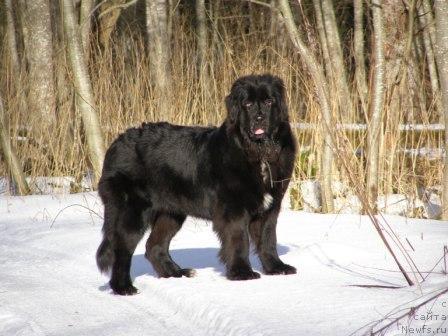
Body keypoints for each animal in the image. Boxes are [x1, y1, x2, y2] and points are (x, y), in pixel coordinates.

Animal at [96, 73, 296, 294]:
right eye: (248, 104)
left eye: (269, 102)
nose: (259, 117)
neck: (258, 154)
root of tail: (116, 144)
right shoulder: (233, 210)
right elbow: (239, 240)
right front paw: (242, 273)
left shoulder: (270, 207)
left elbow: (268, 239)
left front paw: (276, 268)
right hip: (132, 211)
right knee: (121, 249)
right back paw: (124, 288)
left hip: (171, 212)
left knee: (154, 246)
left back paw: (177, 273)